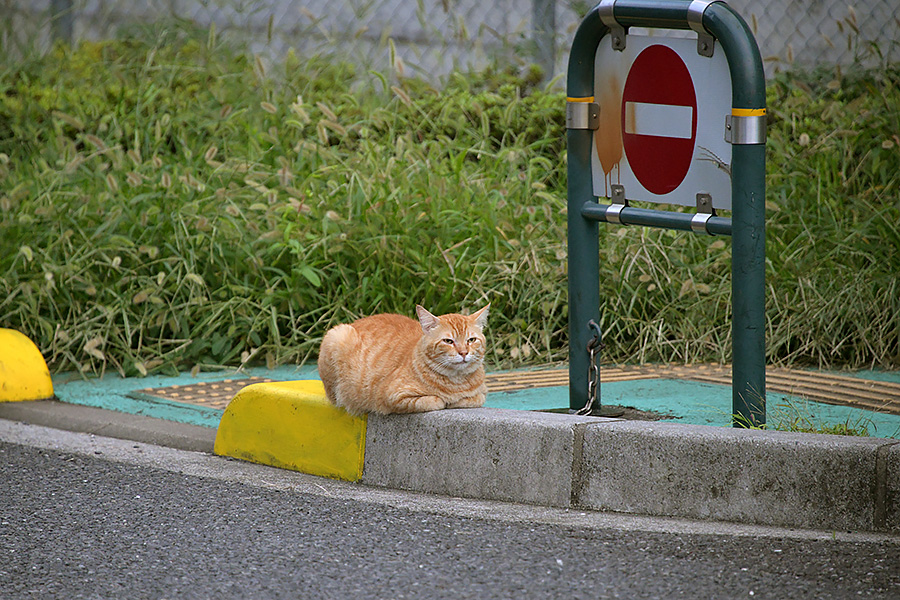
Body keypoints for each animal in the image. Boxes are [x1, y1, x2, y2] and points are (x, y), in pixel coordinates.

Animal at [314, 302, 486, 414]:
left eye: (471, 340)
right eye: (448, 341)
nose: (463, 352)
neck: (457, 382)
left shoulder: (481, 394)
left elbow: (474, 399)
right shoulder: (392, 396)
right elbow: (434, 401)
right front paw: (444, 401)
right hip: (336, 335)